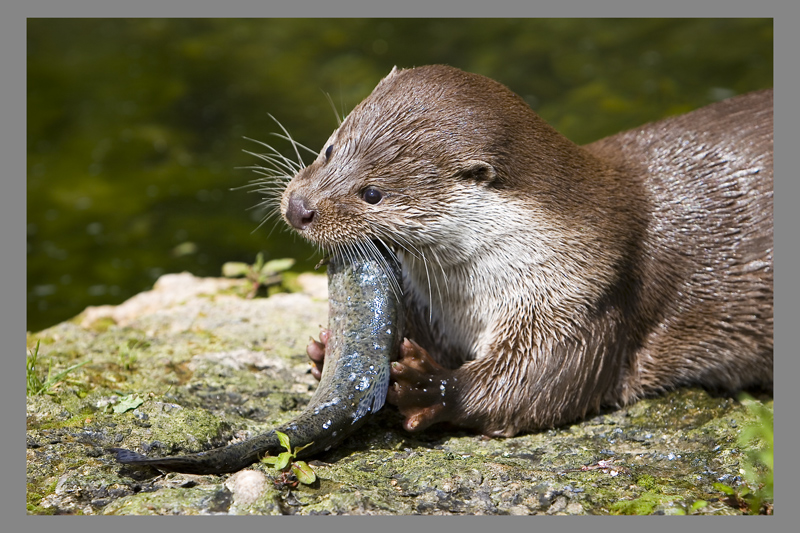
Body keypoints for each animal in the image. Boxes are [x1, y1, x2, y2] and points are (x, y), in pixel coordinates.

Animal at [278, 64, 772, 436]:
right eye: (329, 148)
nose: (300, 208)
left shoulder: (589, 293)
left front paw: (431, 385)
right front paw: (325, 351)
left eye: (373, 194)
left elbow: (544, 382)